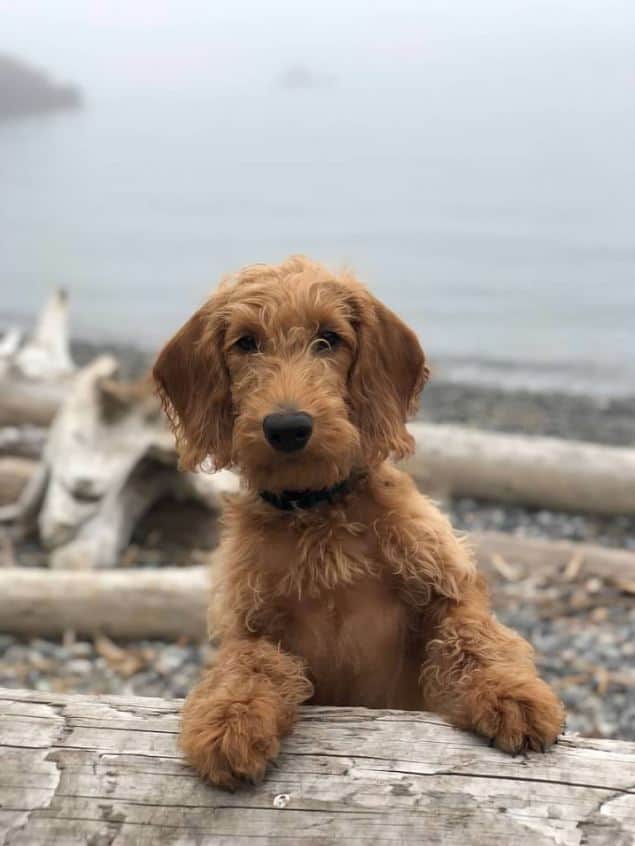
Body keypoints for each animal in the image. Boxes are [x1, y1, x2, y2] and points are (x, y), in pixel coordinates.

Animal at [154, 255, 568, 792]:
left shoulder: (447, 586)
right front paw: (230, 719)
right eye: (246, 342)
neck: (319, 511)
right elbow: (246, 662)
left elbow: (473, 634)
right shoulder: (253, 625)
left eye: (329, 338)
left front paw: (513, 694)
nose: (288, 428)